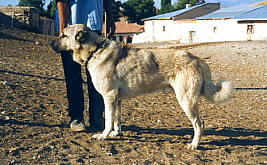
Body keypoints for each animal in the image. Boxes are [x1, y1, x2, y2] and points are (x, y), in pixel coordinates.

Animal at [50, 24, 234, 150]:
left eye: (63, 35)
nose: (51, 42)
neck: (95, 50)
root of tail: (197, 59)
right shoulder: (116, 99)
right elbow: (116, 119)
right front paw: (116, 133)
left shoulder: (108, 96)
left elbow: (108, 120)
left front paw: (104, 136)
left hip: (186, 101)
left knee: (199, 124)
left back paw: (194, 145)